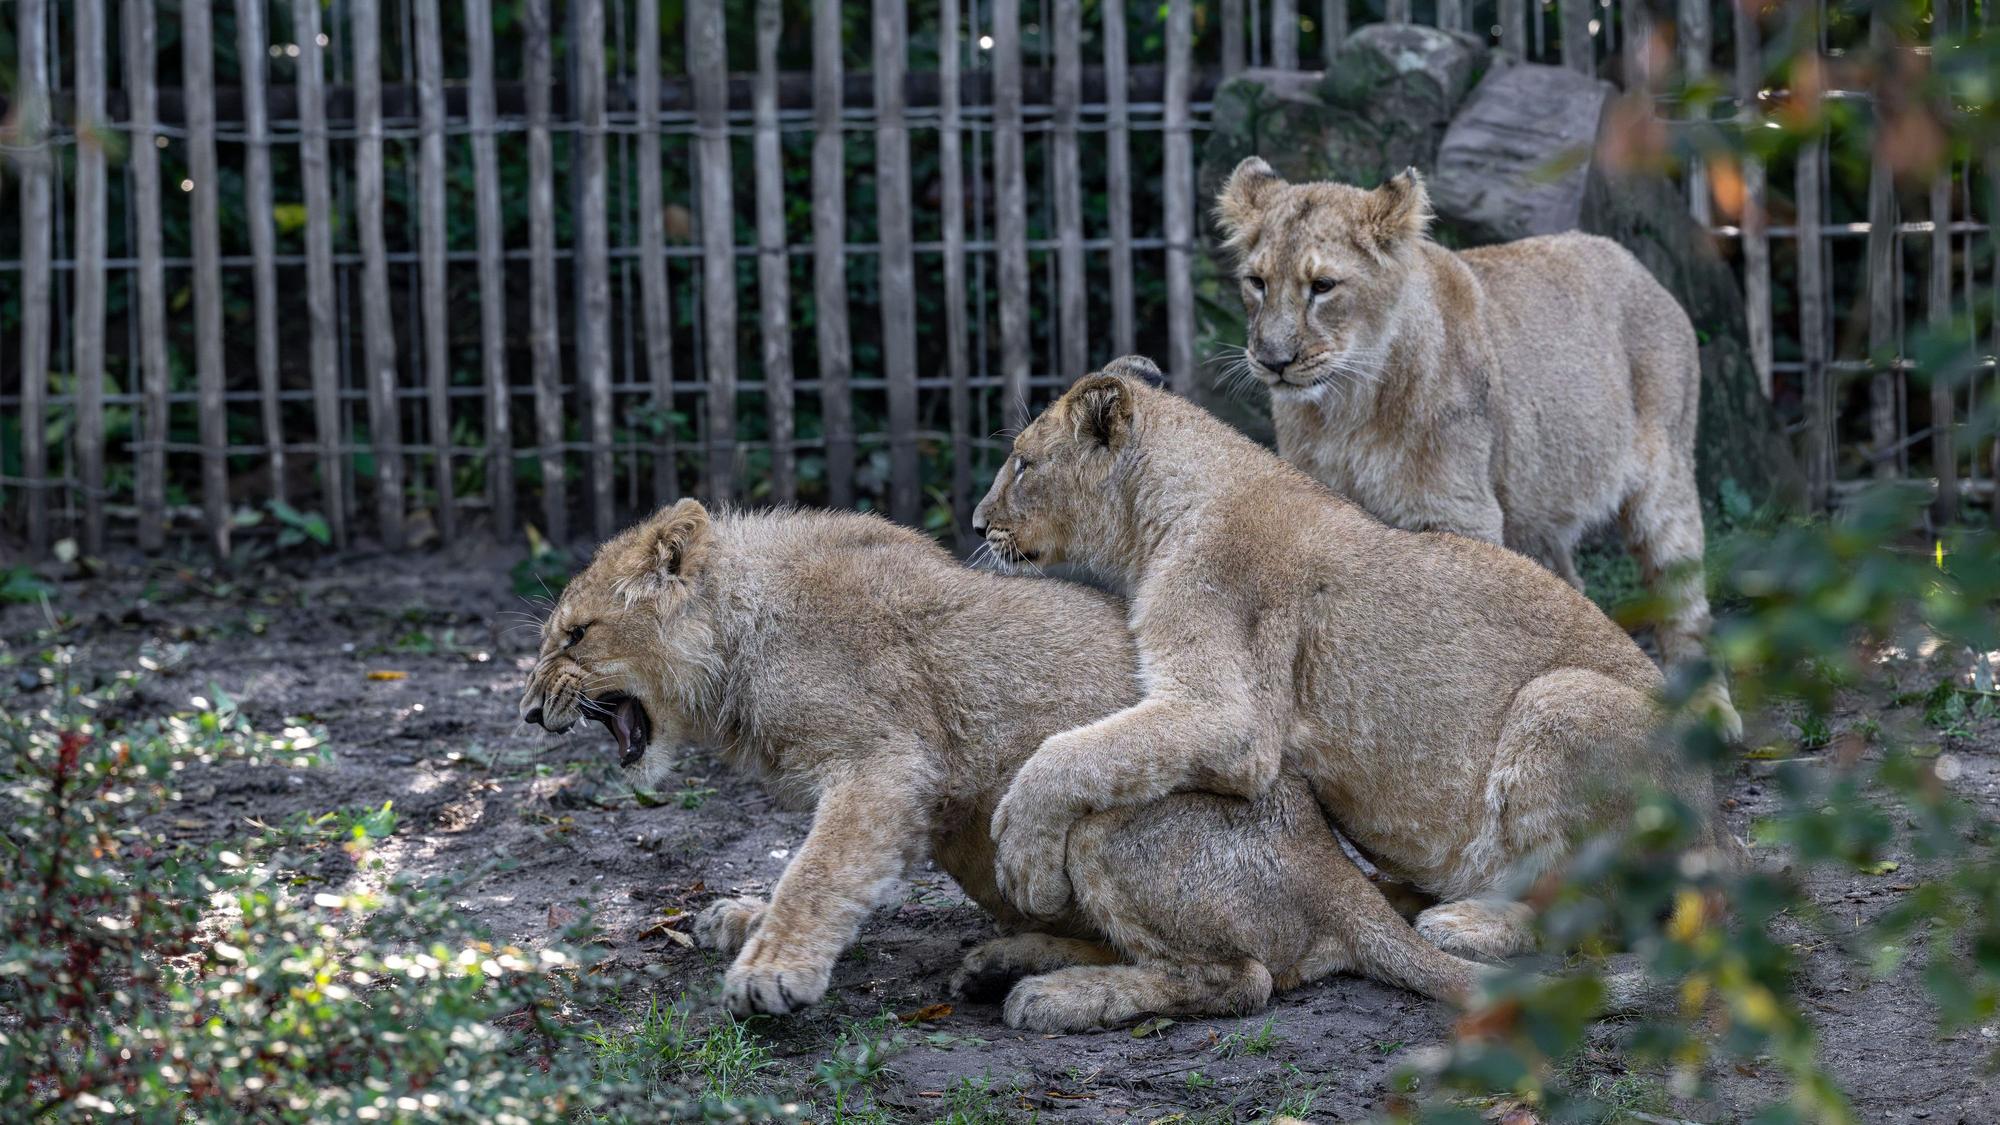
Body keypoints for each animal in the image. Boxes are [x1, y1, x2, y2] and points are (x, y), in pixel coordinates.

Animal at [516, 500, 1482, 1031]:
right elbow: (831, 870)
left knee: (1242, 978)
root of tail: (1335, 870)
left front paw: (771, 969)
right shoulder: (919, 800)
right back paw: (1007, 961)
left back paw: (1059, 997)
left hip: (1101, 819)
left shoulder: (885, 762)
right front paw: (743, 918)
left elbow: (820, 868)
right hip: (978, 837)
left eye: (576, 636)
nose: (528, 710)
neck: (736, 634)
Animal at [972, 359, 1739, 959]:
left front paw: (1022, 854)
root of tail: (1713, 825)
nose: (978, 523)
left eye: (1023, 462)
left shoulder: (1229, 716)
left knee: (1601, 913)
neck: (1157, 515)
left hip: (1560, 700)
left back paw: (1467, 923)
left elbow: (1074, 752)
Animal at [1213, 158, 1739, 737]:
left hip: (1666, 482)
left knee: (1683, 602)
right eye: (1257, 282)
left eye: (1323, 286)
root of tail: (1637, 266)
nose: (1273, 360)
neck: (1346, 408)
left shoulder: (1457, 513)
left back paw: (1709, 713)